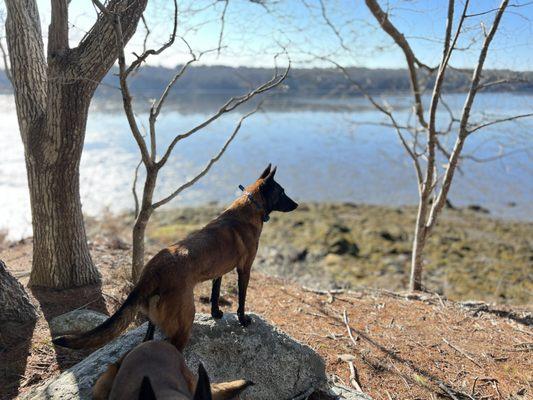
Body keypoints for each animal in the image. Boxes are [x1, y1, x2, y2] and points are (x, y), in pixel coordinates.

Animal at [52, 165, 298, 350]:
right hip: (184, 320)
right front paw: (243, 320)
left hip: (155, 320)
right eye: (282, 192)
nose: (296, 204)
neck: (249, 208)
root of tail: (151, 272)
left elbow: (215, 294)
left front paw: (216, 313)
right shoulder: (244, 269)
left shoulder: (217, 273)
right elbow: (242, 300)